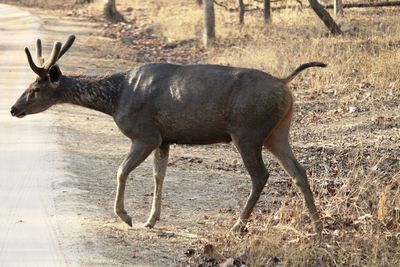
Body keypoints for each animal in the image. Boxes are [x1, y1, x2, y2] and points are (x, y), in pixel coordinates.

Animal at [10, 35, 326, 234]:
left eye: (35, 88)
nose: (14, 108)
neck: (115, 98)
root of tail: (285, 84)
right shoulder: (164, 139)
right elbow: (158, 176)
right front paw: (151, 220)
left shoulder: (145, 134)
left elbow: (121, 171)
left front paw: (126, 217)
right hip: (278, 131)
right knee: (299, 171)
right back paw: (317, 225)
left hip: (247, 131)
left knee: (261, 175)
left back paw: (238, 226)